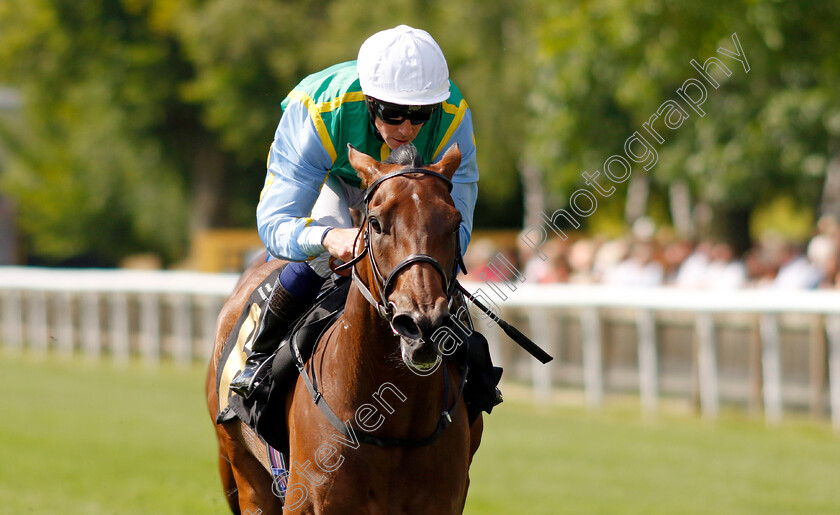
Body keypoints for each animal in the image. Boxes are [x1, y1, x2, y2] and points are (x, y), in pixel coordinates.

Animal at [206, 143, 482, 512]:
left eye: (455, 224)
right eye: (376, 223)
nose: (422, 323)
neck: (389, 420)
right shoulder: (308, 500)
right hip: (246, 470)